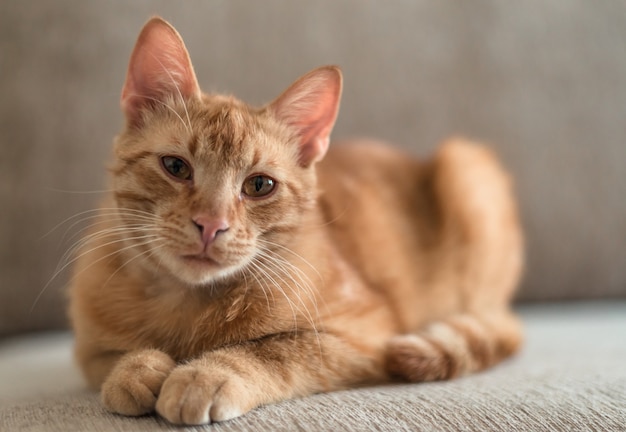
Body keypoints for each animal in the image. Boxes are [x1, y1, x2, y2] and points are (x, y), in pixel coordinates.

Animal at [69, 16, 520, 426]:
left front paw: (207, 374)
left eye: (259, 185)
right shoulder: (88, 347)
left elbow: (275, 350)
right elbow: (109, 357)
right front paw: (134, 369)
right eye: (176, 167)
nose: (211, 224)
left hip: (468, 171)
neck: (187, 305)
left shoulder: (362, 334)